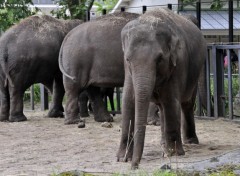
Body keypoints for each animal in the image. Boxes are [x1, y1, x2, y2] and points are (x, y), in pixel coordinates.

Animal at [116, 7, 206, 168]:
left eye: (159, 59)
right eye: (128, 59)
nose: (135, 167)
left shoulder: (178, 63)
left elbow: (171, 100)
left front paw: (174, 154)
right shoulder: (128, 70)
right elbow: (128, 101)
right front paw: (122, 158)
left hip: (195, 72)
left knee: (185, 103)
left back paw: (189, 143)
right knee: (163, 107)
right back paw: (163, 145)